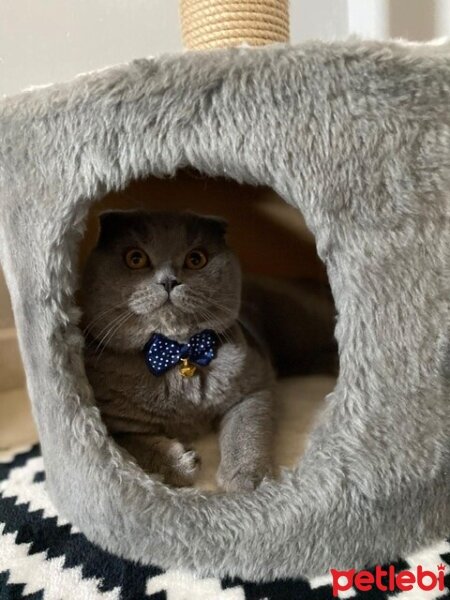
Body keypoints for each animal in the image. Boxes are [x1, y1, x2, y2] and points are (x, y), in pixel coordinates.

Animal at [82, 211, 276, 492]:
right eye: (135, 258)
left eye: (196, 259)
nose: (168, 281)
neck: (178, 353)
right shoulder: (111, 424)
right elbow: (137, 445)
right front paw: (181, 464)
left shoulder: (256, 387)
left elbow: (246, 429)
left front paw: (249, 480)